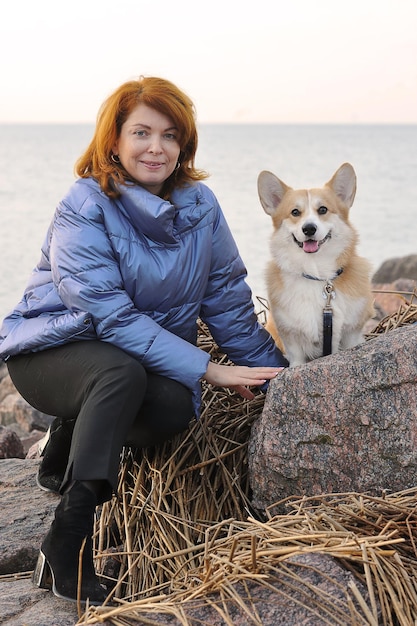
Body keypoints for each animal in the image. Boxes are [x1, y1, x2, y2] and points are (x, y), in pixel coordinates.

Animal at [256, 162, 374, 366]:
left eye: (323, 210)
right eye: (295, 212)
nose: (309, 228)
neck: (317, 276)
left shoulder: (352, 332)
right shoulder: (292, 339)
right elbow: (296, 362)